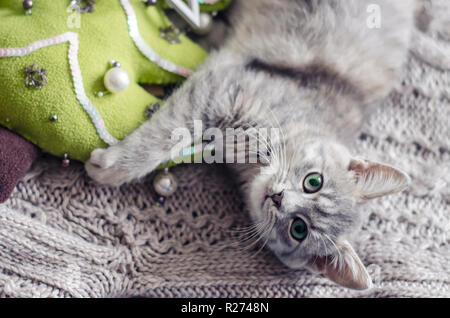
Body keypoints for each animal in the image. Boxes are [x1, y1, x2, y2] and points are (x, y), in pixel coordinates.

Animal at [86, 0, 416, 288]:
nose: (278, 198)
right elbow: (166, 132)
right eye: (314, 181)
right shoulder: (224, 88)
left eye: (299, 229)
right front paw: (114, 167)